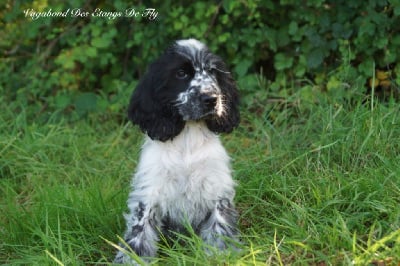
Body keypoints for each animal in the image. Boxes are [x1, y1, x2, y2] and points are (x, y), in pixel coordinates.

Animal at [115, 38, 241, 264]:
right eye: (181, 74)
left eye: (212, 71)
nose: (211, 99)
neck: (188, 138)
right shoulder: (150, 191)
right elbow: (139, 233)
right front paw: (133, 260)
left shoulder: (216, 189)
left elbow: (219, 229)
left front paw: (220, 256)